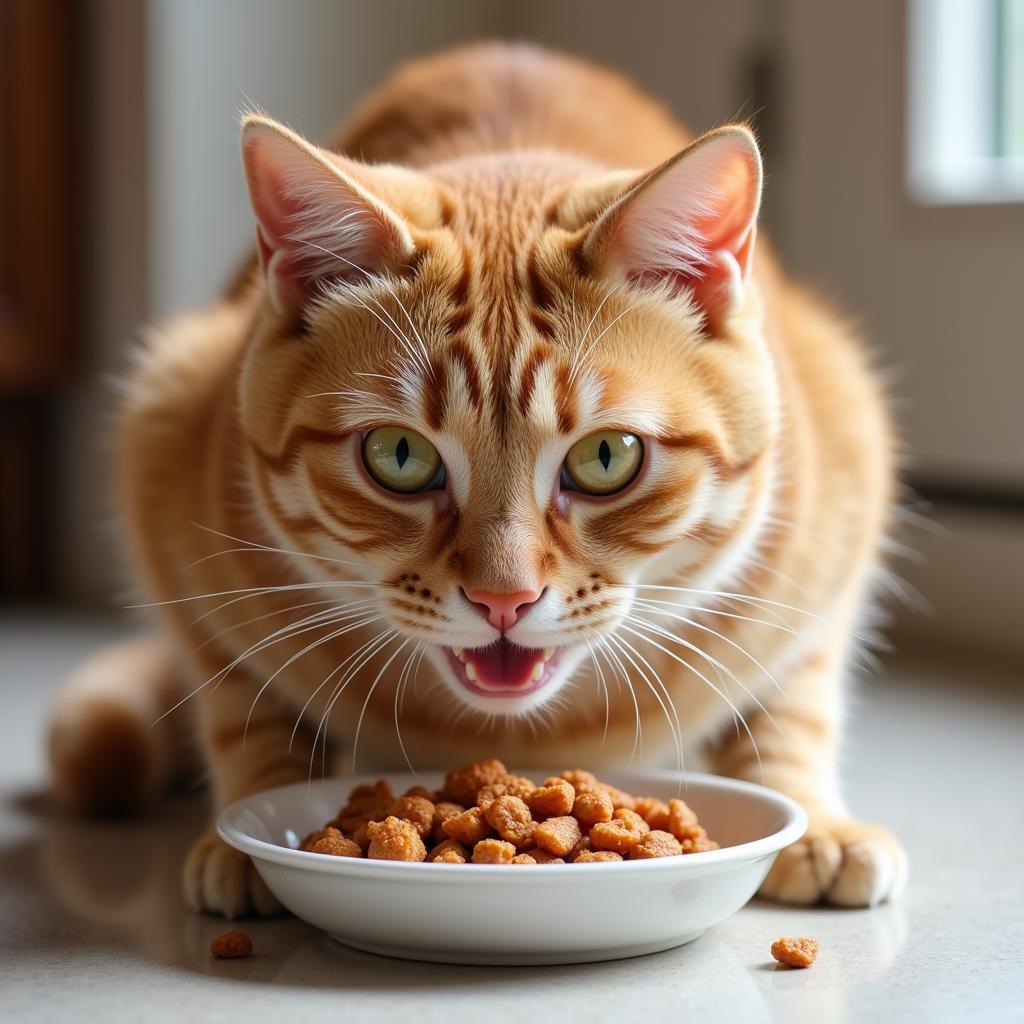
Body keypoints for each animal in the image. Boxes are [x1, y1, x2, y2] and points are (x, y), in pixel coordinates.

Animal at [51, 44, 909, 917]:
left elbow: (792, 706)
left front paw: (813, 822)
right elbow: (243, 712)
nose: (506, 600)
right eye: (399, 456)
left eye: (607, 458)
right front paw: (249, 835)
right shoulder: (166, 461)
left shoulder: (835, 510)